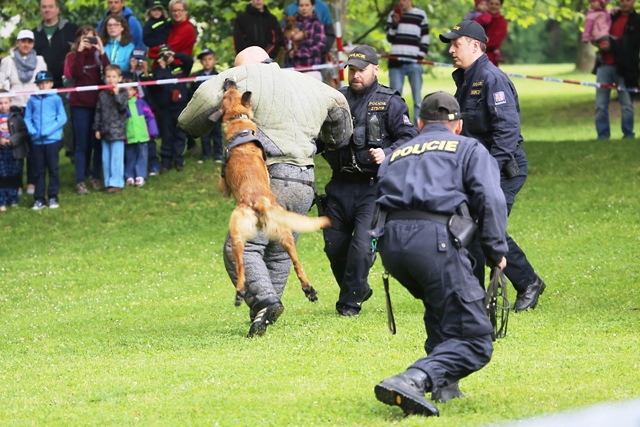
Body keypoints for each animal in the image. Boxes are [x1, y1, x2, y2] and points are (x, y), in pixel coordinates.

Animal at [212, 79, 330, 308]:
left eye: (230, 90)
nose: (228, 80)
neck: (238, 122)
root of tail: (258, 203)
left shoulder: (223, 185)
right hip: (282, 237)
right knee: (295, 263)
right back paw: (308, 289)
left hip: (237, 232)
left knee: (241, 265)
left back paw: (240, 293)